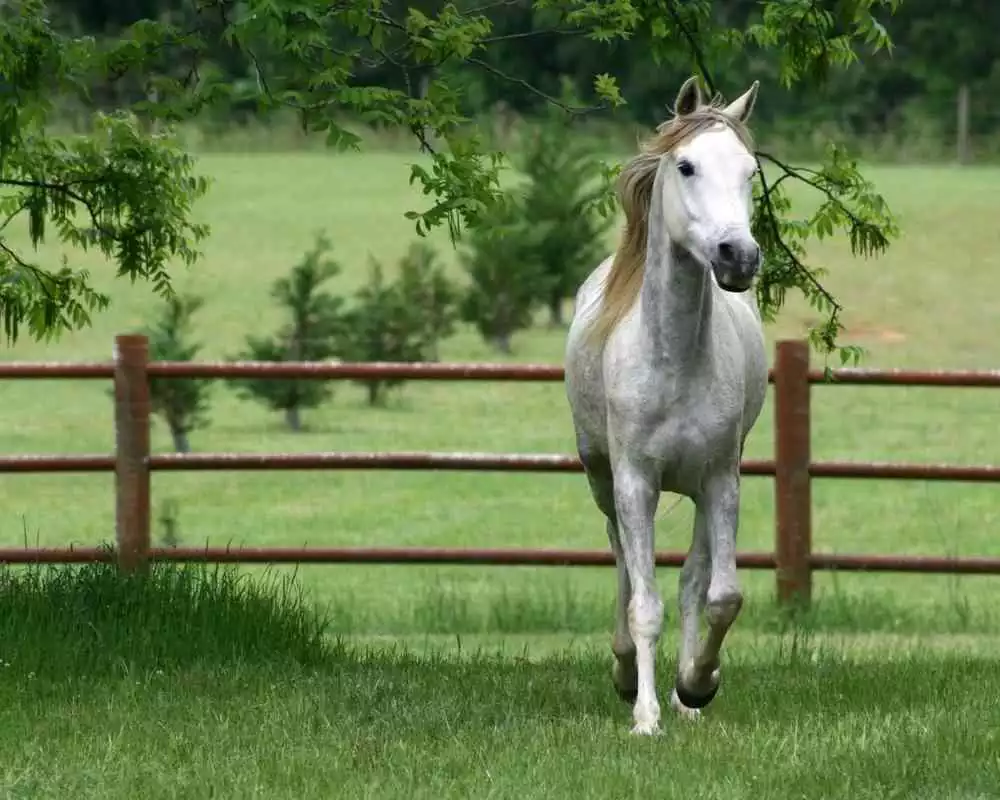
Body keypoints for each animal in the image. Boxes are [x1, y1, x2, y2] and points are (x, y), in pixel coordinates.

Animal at [563, 75, 768, 736]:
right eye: (686, 165)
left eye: (750, 171)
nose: (738, 256)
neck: (674, 361)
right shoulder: (635, 483)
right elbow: (644, 603)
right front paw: (646, 717)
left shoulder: (721, 480)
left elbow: (718, 595)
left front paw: (696, 686)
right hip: (603, 482)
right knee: (624, 567)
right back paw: (628, 673)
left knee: (692, 581)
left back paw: (683, 697)